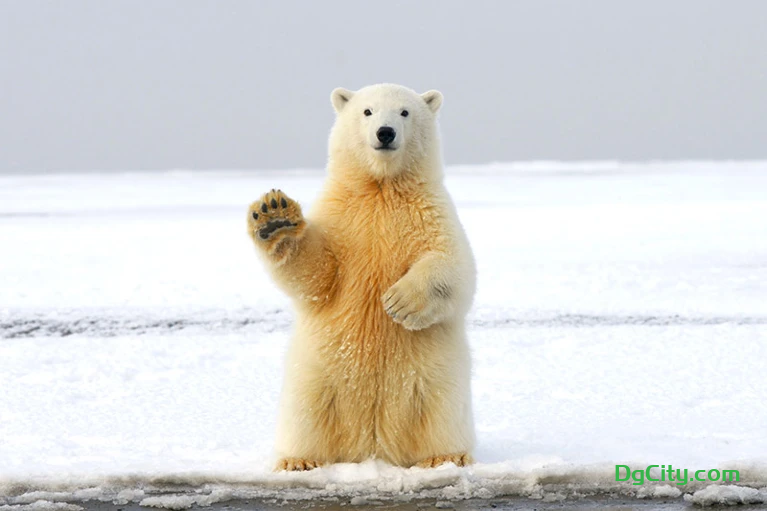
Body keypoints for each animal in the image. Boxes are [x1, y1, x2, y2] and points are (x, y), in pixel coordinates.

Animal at [246, 83, 476, 471]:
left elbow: (454, 266)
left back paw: (446, 457)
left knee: (440, 412)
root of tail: (373, 447)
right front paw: (275, 217)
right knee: (306, 414)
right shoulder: (342, 217)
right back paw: (298, 460)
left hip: (435, 379)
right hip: (316, 377)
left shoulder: (431, 212)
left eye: (404, 112)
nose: (385, 133)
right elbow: (318, 274)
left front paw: (399, 302)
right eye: (367, 111)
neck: (381, 187)